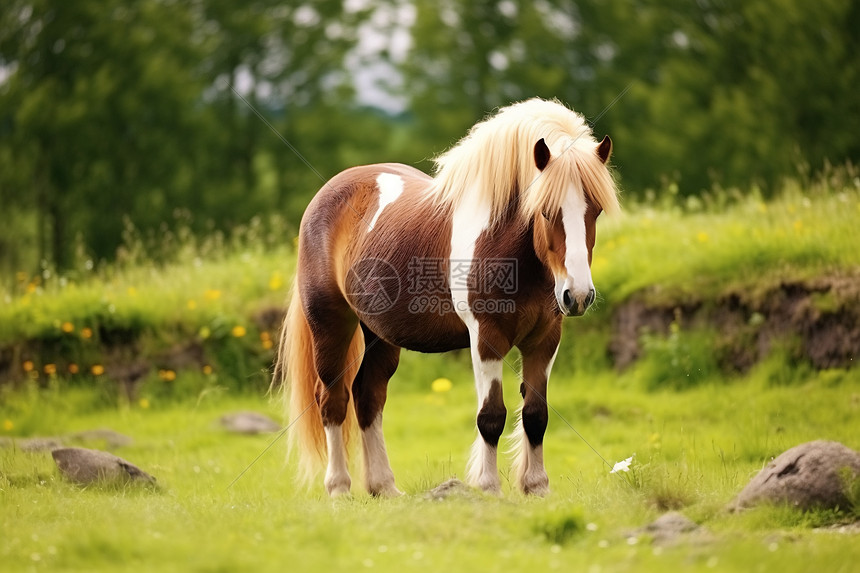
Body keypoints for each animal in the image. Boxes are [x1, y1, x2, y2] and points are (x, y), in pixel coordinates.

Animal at [276, 96, 620, 494]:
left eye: (595, 210)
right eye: (546, 211)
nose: (577, 295)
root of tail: (326, 194)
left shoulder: (545, 339)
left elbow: (536, 415)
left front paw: (537, 487)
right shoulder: (486, 338)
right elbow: (491, 416)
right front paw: (488, 486)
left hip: (380, 334)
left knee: (368, 396)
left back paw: (384, 487)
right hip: (331, 323)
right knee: (332, 398)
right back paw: (339, 488)